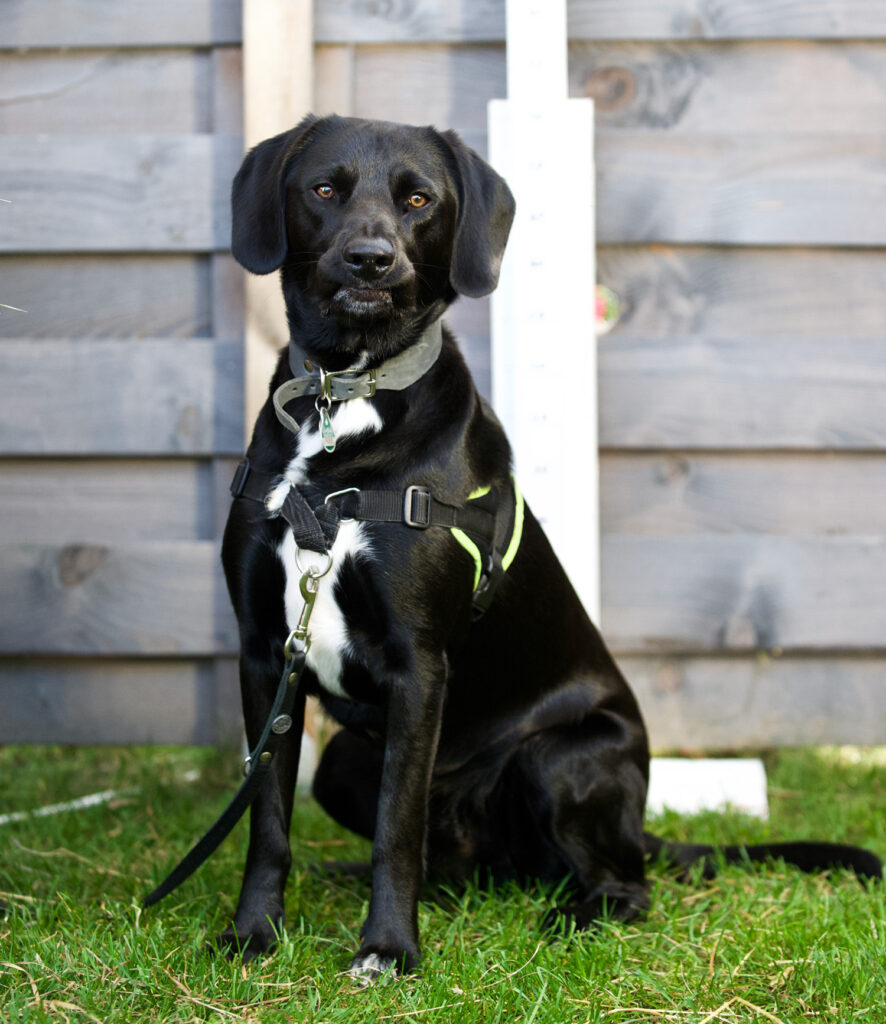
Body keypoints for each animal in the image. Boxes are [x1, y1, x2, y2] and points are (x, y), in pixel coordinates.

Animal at [219, 112, 876, 974]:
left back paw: (576, 915)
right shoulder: (266, 653)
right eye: (325, 189)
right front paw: (254, 933)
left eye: (419, 200)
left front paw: (388, 950)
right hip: (343, 762)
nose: (371, 258)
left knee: (622, 885)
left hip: (561, 757)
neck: (344, 409)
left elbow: (397, 828)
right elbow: (268, 818)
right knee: (458, 862)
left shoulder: (417, 666)